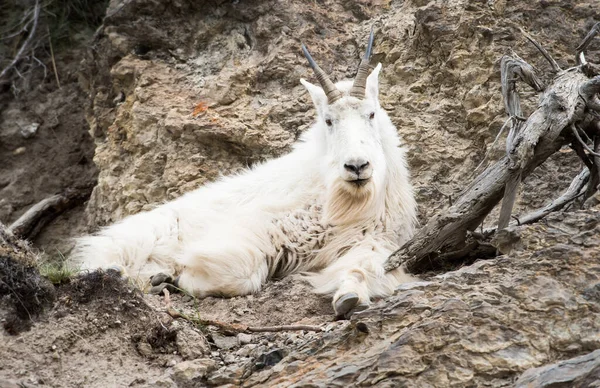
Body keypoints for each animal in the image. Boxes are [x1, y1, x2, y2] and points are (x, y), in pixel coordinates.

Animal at [74, 32, 418, 318]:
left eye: (370, 113)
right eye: (329, 120)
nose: (357, 167)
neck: (339, 200)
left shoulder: (374, 240)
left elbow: (365, 268)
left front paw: (349, 297)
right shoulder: (255, 229)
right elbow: (242, 273)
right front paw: (182, 275)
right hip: (136, 240)